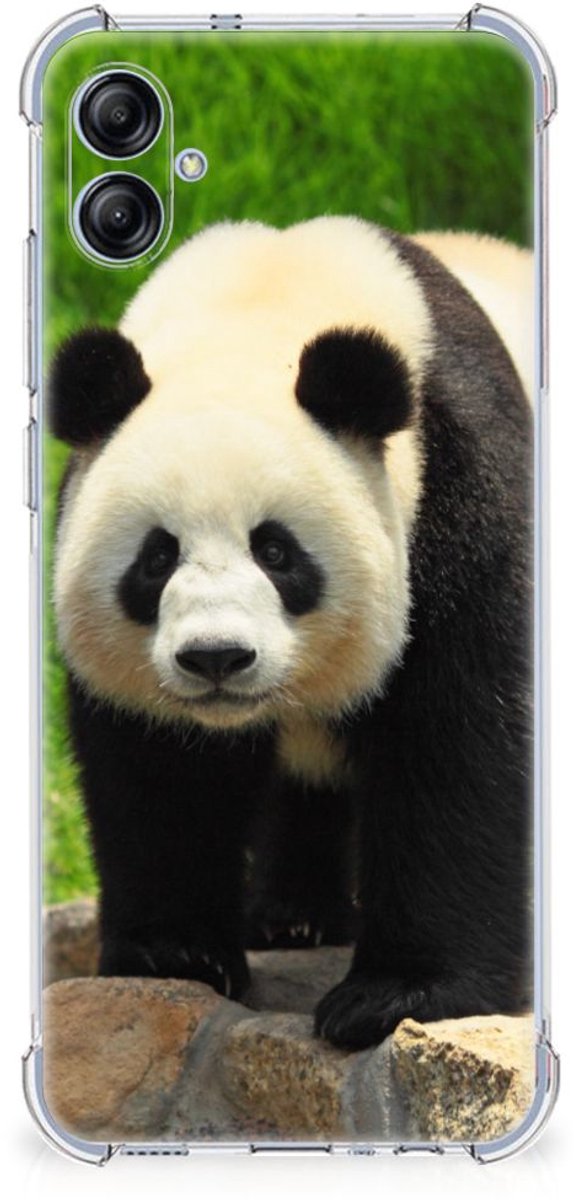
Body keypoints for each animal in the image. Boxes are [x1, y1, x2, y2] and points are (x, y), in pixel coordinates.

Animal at [49, 217, 533, 1050]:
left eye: (276, 552)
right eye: (156, 557)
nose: (216, 657)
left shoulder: (462, 490)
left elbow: (459, 739)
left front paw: (397, 995)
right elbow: (157, 770)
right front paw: (176, 954)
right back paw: (293, 917)